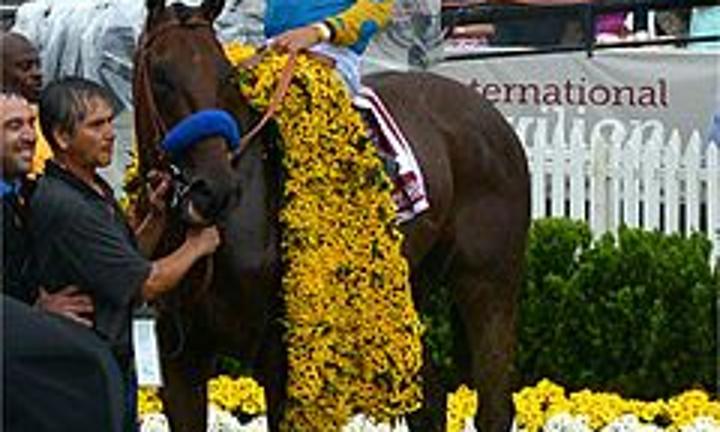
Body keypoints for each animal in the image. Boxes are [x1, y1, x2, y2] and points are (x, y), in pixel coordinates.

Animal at [132, 1, 530, 431]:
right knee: (431, 401)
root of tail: (490, 115)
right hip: (402, 292)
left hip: (488, 284)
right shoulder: (180, 357)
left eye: (225, 76)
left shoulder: (281, 359)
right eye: (160, 75)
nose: (215, 189)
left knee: (493, 407)